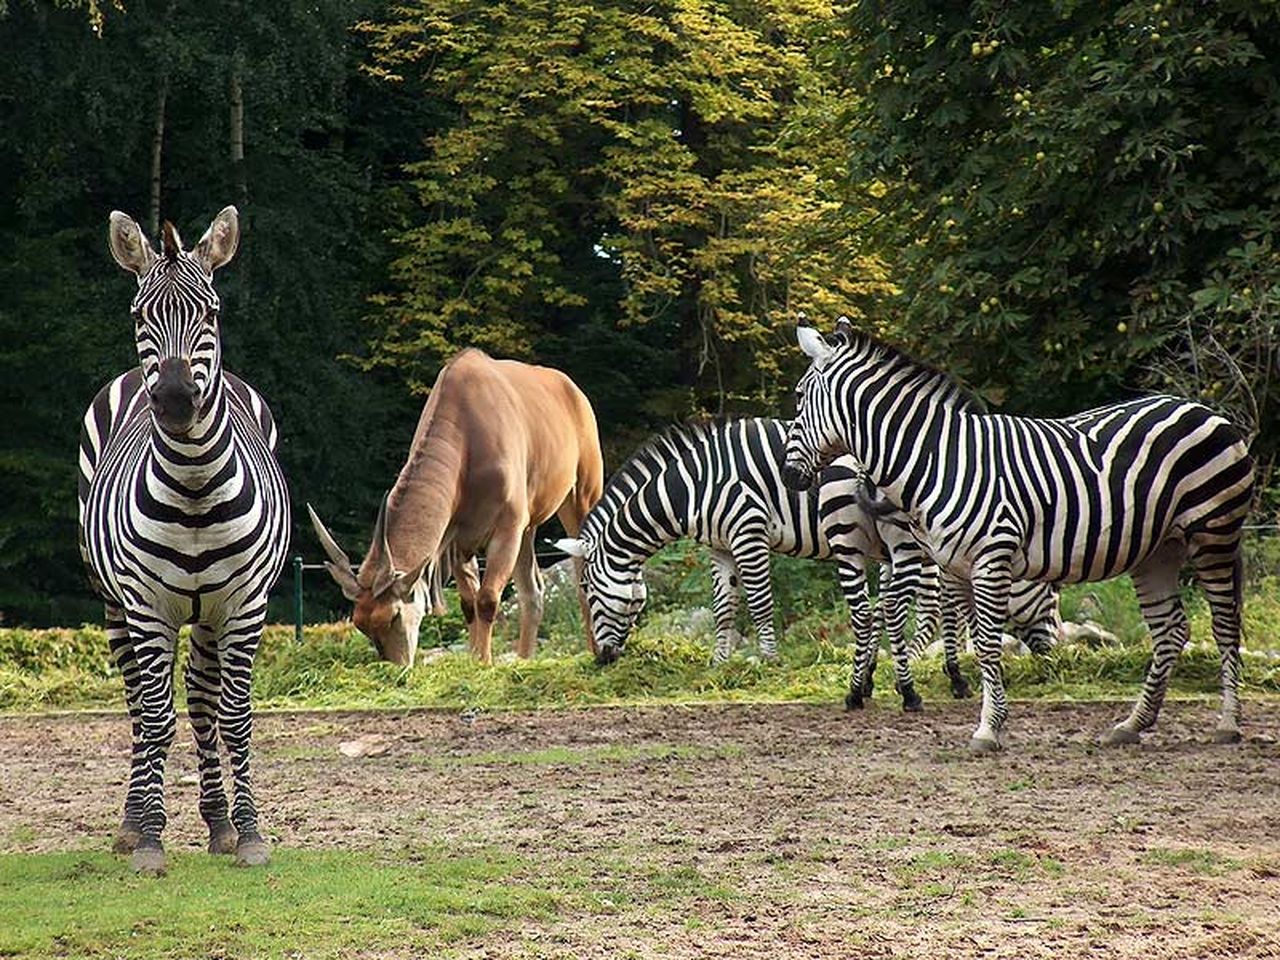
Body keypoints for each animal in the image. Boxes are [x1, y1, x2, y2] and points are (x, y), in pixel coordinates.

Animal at [78, 207, 291, 875]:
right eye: (139, 315)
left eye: (213, 312)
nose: (174, 401)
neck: (195, 486)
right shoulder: (147, 607)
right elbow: (154, 717)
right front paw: (149, 839)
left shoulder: (246, 605)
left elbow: (234, 716)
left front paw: (249, 835)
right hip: (113, 602)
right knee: (138, 704)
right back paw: (131, 823)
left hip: (209, 612)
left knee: (200, 699)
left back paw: (220, 823)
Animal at [312, 348, 606, 670]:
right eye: (360, 624)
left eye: (392, 616)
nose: (398, 668)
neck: (467, 434)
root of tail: (574, 392)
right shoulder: (459, 541)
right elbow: (469, 603)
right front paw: (476, 659)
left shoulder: (506, 528)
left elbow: (487, 600)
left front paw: (485, 663)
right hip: (528, 527)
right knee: (533, 591)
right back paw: (525, 660)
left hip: (581, 497)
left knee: (583, 574)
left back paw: (595, 650)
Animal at [783, 320, 1254, 757]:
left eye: (801, 396)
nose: (788, 476)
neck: (938, 458)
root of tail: (1204, 409)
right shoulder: (958, 565)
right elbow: (977, 642)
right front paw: (984, 714)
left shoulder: (992, 556)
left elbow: (988, 645)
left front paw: (987, 730)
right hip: (1158, 550)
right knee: (1171, 630)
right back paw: (1132, 724)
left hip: (1213, 531)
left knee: (1224, 624)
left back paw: (1228, 724)